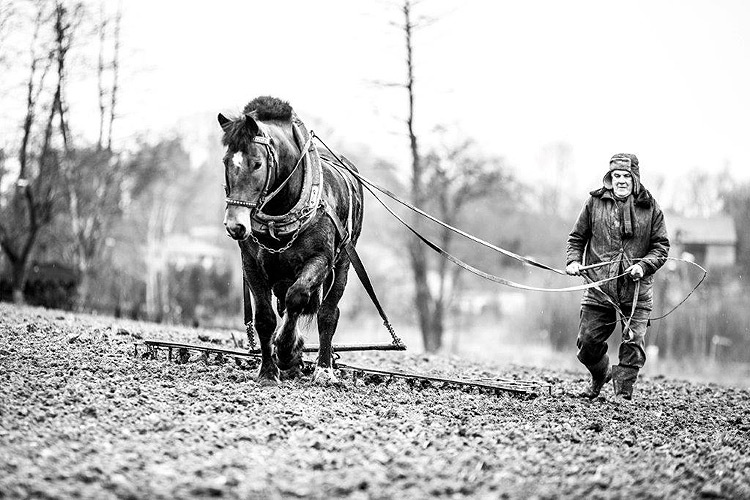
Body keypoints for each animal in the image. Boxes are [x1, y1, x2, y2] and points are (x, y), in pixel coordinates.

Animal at [218, 96, 363, 385]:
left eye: (257, 163)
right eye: (226, 161)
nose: (235, 225)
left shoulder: (320, 260)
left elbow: (298, 298)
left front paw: (286, 350)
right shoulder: (251, 264)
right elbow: (265, 318)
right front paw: (268, 371)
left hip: (343, 262)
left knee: (327, 313)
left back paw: (323, 368)